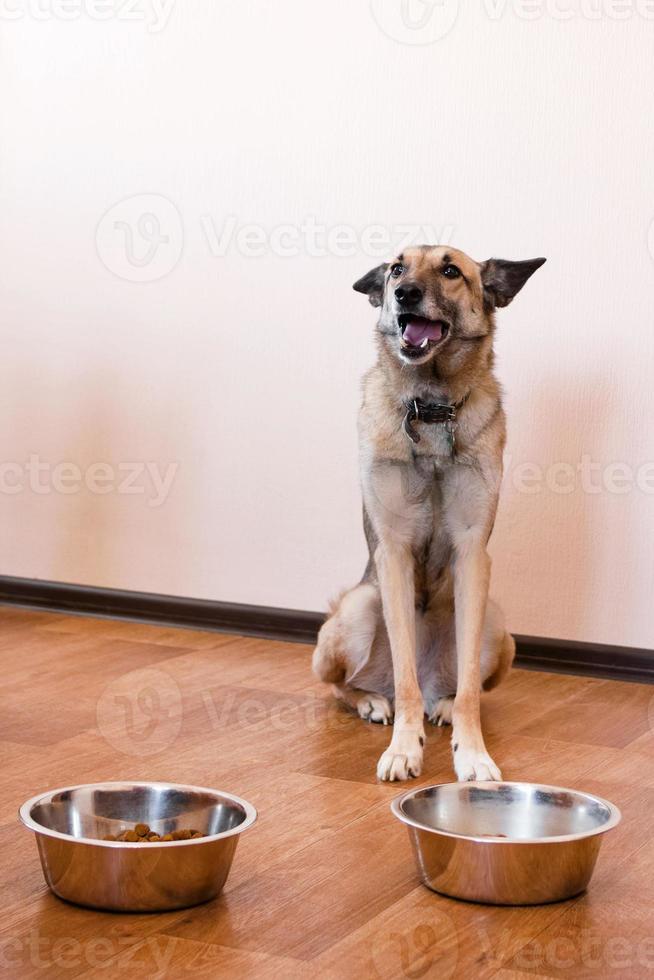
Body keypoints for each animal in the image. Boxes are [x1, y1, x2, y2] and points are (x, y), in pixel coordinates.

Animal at [312, 245, 544, 780]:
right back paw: (372, 701)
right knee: (347, 685)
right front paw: (404, 749)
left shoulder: (473, 555)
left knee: (457, 686)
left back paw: (443, 705)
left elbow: (471, 693)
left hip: (496, 626)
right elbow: (404, 678)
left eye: (451, 271)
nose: (404, 294)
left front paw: (472, 753)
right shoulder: (393, 553)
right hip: (357, 609)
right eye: (397, 268)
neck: (431, 405)